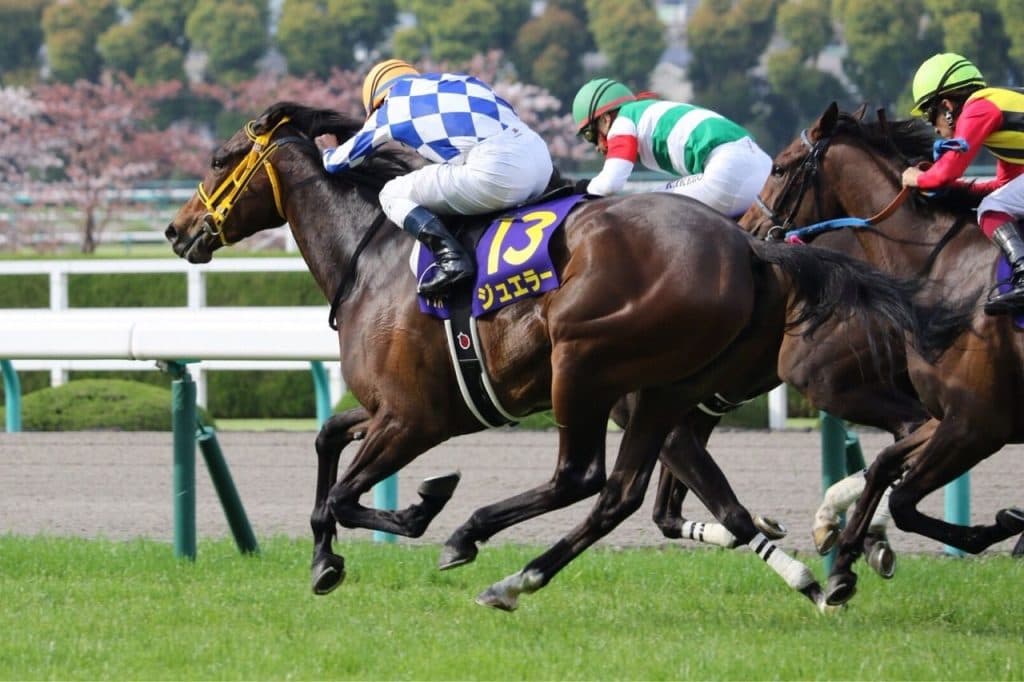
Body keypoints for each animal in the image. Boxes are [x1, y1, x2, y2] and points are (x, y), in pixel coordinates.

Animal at [166, 101, 958, 612]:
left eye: (219, 159)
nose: (177, 230)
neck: (376, 256)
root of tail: (750, 247)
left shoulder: (417, 419)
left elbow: (346, 495)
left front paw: (423, 507)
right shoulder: (391, 408)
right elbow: (329, 444)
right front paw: (327, 558)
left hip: (586, 362)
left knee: (584, 477)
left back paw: (477, 540)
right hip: (667, 390)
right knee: (621, 494)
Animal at [739, 101, 1024, 605]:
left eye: (778, 168)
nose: (747, 229)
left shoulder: (977, 425)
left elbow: (903, 498)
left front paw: (1001, 527)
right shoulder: (946, 417)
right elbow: (885, 467)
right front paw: (844, 563)